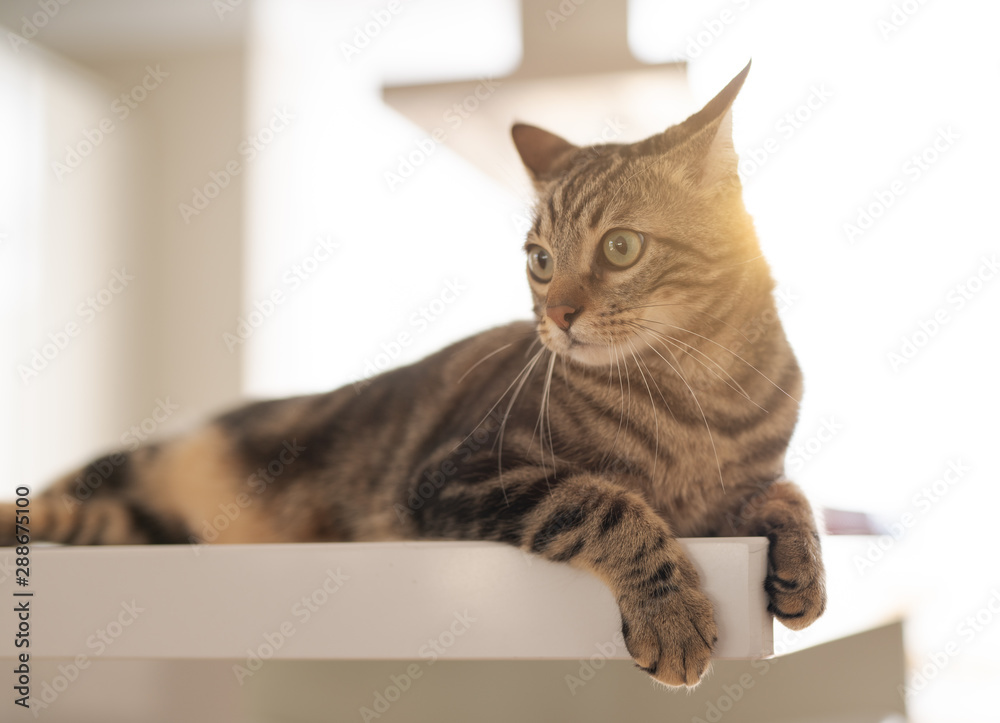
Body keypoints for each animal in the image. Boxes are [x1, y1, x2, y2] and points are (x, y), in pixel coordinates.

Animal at [3, 60, 824, 684]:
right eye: (540, 259)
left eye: (620, 247)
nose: (558, 314)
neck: (700, 391)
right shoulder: (456, 475)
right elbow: (599, 502)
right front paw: (672, 611)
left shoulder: (747, 479)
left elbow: (787, 493)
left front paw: (802, 571)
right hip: (145, 466)